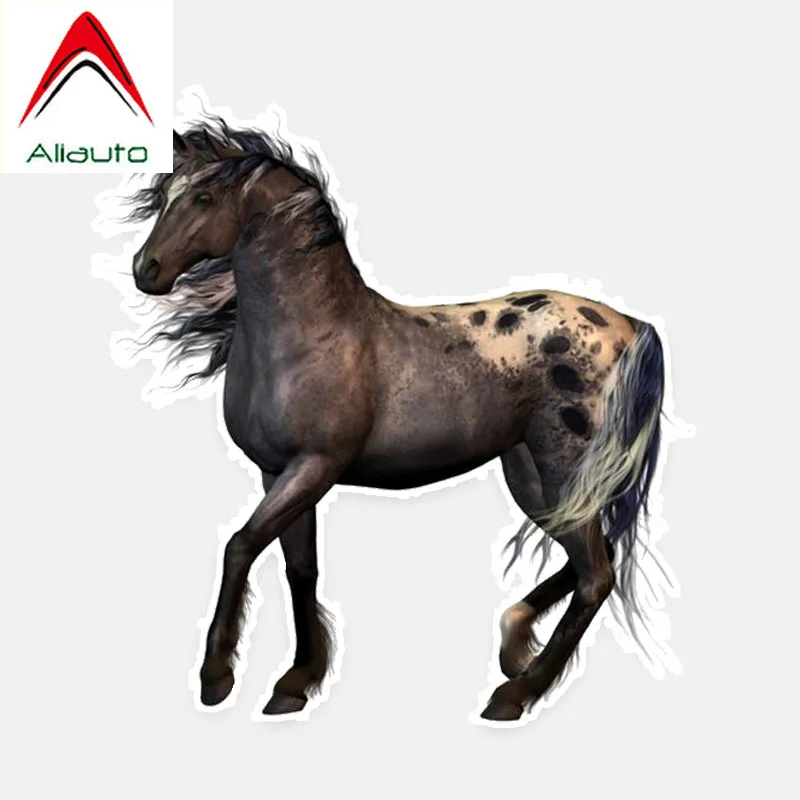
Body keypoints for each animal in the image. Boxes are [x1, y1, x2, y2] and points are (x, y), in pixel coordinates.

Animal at [123, 116, 667, 722]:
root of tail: (630, 326)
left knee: (597, 575)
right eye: (162, 195)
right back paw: (514, 647)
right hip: (530, 474)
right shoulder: (276, 472)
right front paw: (296, 683)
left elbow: (240, 545)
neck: (312, 334)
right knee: (593, 559)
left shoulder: (315, 466)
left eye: (204, 196)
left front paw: (216, 678)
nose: (146, 270)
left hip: (565, 468)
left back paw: (514, 694)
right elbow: (300, 568)